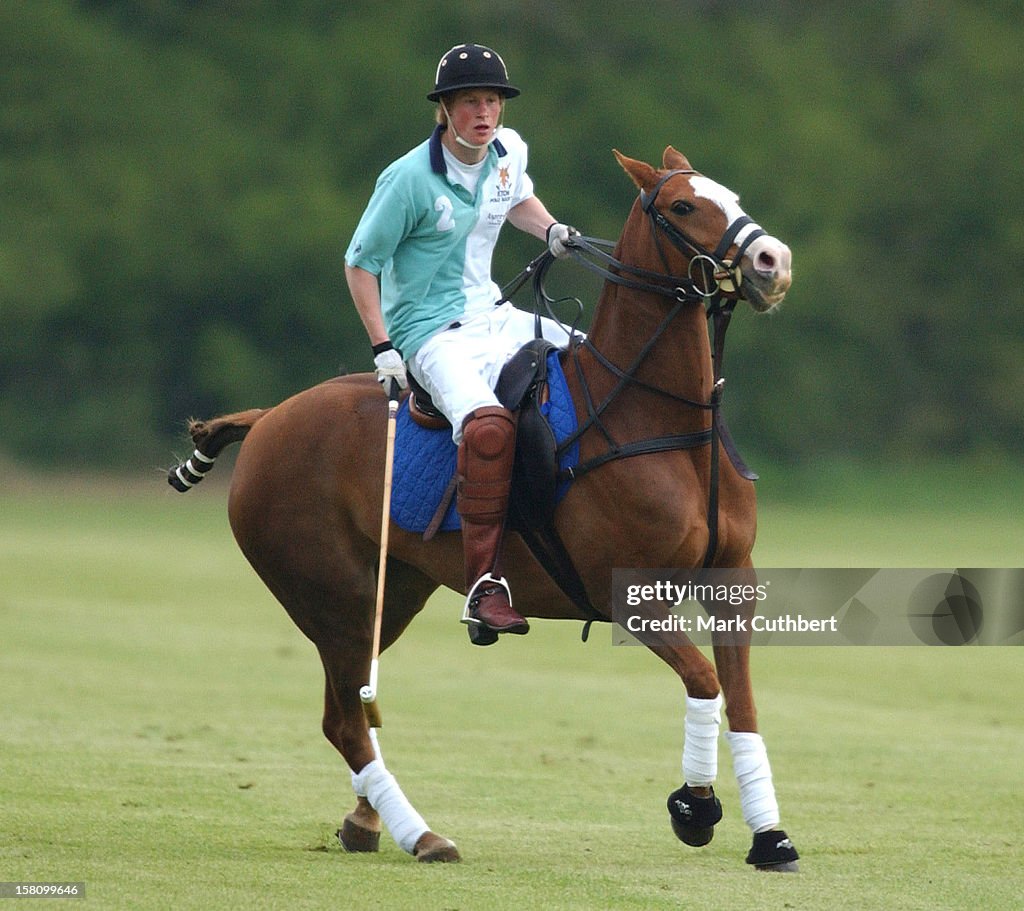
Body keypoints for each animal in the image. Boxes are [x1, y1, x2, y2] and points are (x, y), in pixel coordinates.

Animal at [167, 147, 798, 868]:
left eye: (731, 196)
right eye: (683, 207)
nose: (772, 261)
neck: (659, 415)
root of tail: (268, 416)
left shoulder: (734, 577)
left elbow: (742, 703)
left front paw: (770, 835)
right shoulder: (628, 594)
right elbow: (704, 682)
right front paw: (694, 806)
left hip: (389, 593)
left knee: (355, 708)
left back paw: (366, 820)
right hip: (332, 597)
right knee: (344, 719)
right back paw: (422, 834)